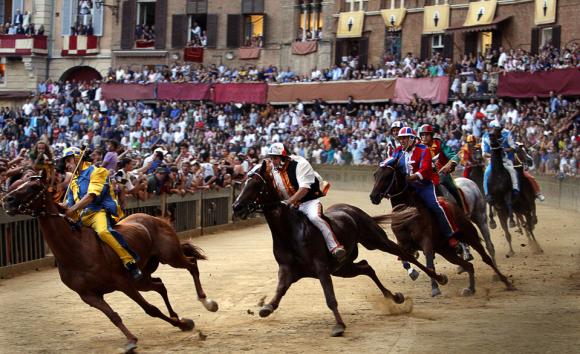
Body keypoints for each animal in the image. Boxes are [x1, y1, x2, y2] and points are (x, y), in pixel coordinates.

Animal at [1, 176, 220, 352]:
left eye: (33, 186)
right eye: (17, 183)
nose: (7, 199)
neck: (76, 252)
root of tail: (154, 217)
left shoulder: (123, 283)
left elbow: (150, 309)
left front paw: (180, 323)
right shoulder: (88, 295)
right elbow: (114, 316)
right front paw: (133, 339)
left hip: (170, 256)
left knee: (191, 264)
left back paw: (206, 301)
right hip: (143, 276)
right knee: (159, 284)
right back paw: (177, 317)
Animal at [231, 160, 448, 338]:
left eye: (256, 184)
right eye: (242, 183)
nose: (237, 206)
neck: (290, 232)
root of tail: (351, 209)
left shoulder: (321, 267)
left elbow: (330, 298)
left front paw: (339, 325)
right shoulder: (288, 270)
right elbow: (278, 293)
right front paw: (266, 307)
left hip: (376, 241)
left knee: (406, 256)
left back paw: (438, 279)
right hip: (342, 268)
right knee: (366, 266)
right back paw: (394, 296)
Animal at [370, 160, 516, 296]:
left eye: (388, 176)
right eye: (375, 174)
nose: (373, 196)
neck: (407, 212)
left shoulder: (426, 242)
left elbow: (429, 264)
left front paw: (435, 287)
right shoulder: (404, 243)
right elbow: (405, 259)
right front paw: (414, 273)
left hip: (472, 230)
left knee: (486, 255)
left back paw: (505, 281)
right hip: (445, 250)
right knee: (469, 265)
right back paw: (470, 287)